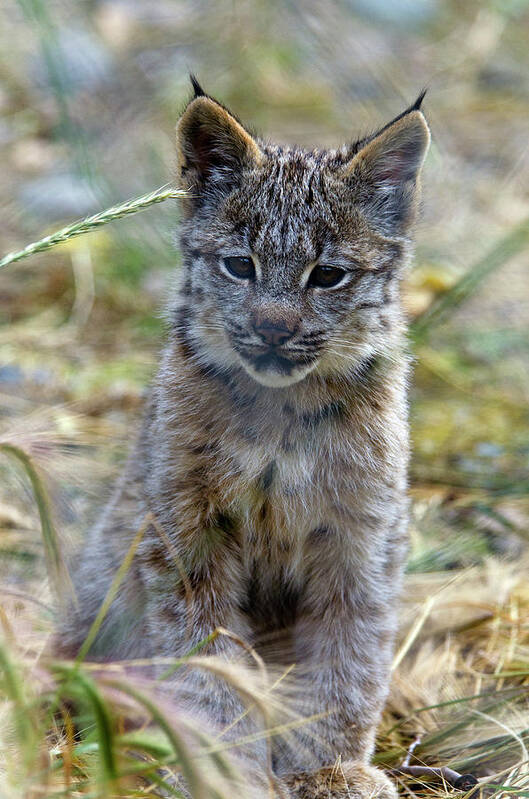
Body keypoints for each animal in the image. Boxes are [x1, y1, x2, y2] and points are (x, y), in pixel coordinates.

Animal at [57, 76, 428, 799]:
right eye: (239, 266)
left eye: (328, 274)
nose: (274, 327)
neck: (284, 411)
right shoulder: (184, 535)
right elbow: (209, 660)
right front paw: (228, 765)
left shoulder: (362, 538)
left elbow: (348, 659)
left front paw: (328, 767)